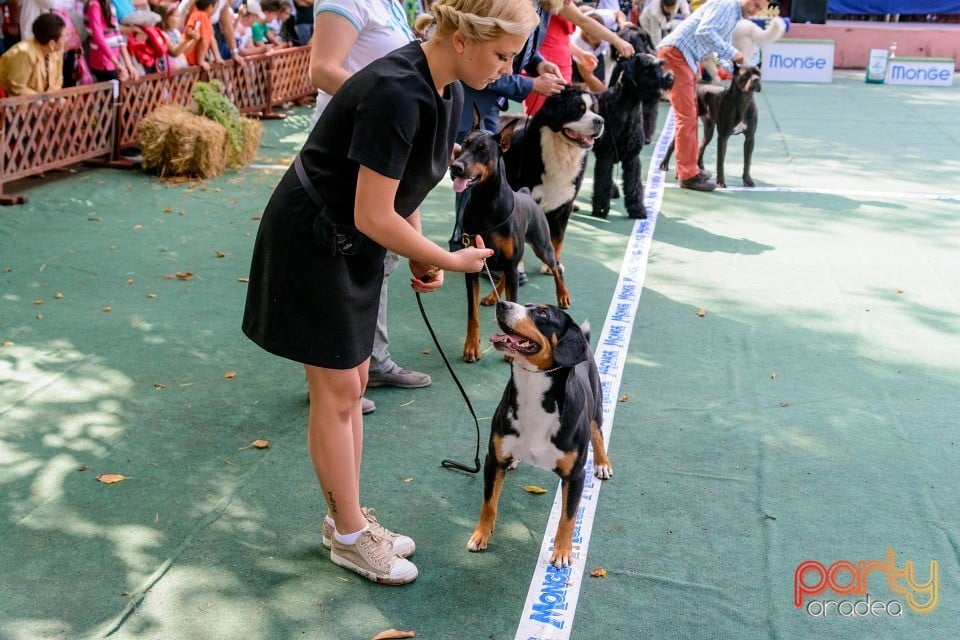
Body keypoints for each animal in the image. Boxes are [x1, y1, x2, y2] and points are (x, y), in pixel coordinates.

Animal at [450, 110, 568, 362]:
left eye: (483, 150)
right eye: (464, 144)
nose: (455, 167)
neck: (486, 203)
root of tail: (524, 193)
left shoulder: (512, 262)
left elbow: (514, 303)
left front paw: (513, 350)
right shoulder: (473, 265)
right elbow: (472, 313)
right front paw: (471, 346)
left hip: (541, 245)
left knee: (555, 266)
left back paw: (563, 295)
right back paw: (492, 297)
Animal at [466, 302, 616, 568]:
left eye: (543, 313)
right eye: (525, 305)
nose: (502, 304)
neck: (531, 392)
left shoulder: (575, 476)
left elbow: (568, 518)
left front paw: (563, 552)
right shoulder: (493, 459)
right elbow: (489, 503)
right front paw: (481, 535)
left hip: (596, 407)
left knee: (598, 434)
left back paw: (602, 463)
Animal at [592, 51, 676, 220]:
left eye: (661, 64)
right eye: (647, 67)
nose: (669, 78)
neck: (628, 107)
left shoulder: (632, 158)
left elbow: (634, 185)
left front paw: (637, 209)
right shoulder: (605, 156)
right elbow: (603, 182)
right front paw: (601, 208)